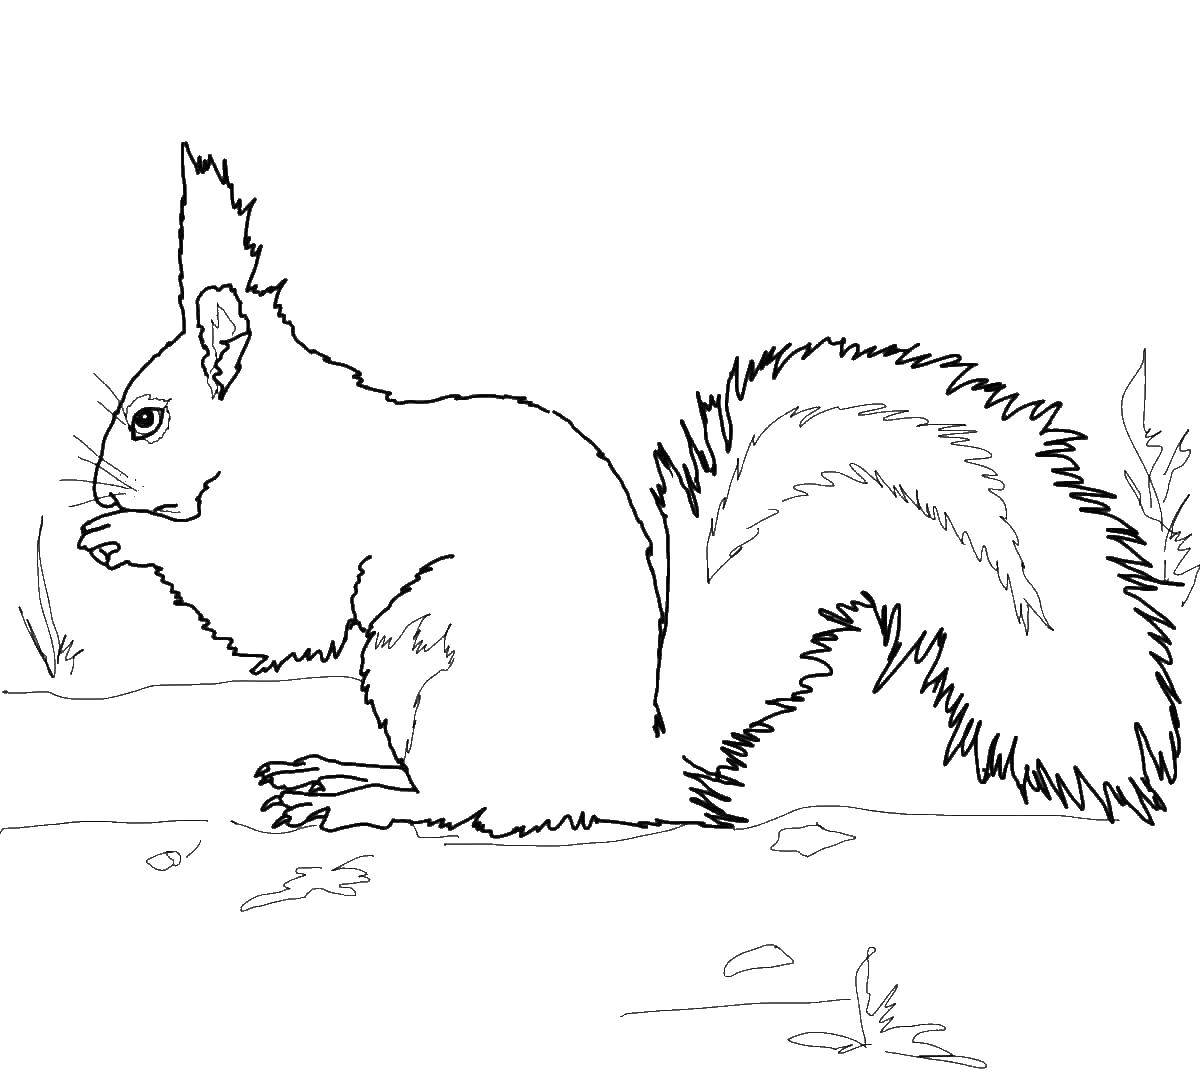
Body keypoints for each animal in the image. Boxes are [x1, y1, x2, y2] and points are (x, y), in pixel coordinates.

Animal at [80, 145, 1182, 838]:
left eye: (147, 420)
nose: (96, 478)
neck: (283, 435)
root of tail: (632, 765)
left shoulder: (303, 531)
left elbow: (262, 607)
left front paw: (120, 532)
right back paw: (341, 772)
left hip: (430, 665)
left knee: (463, 804)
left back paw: (358, 800)